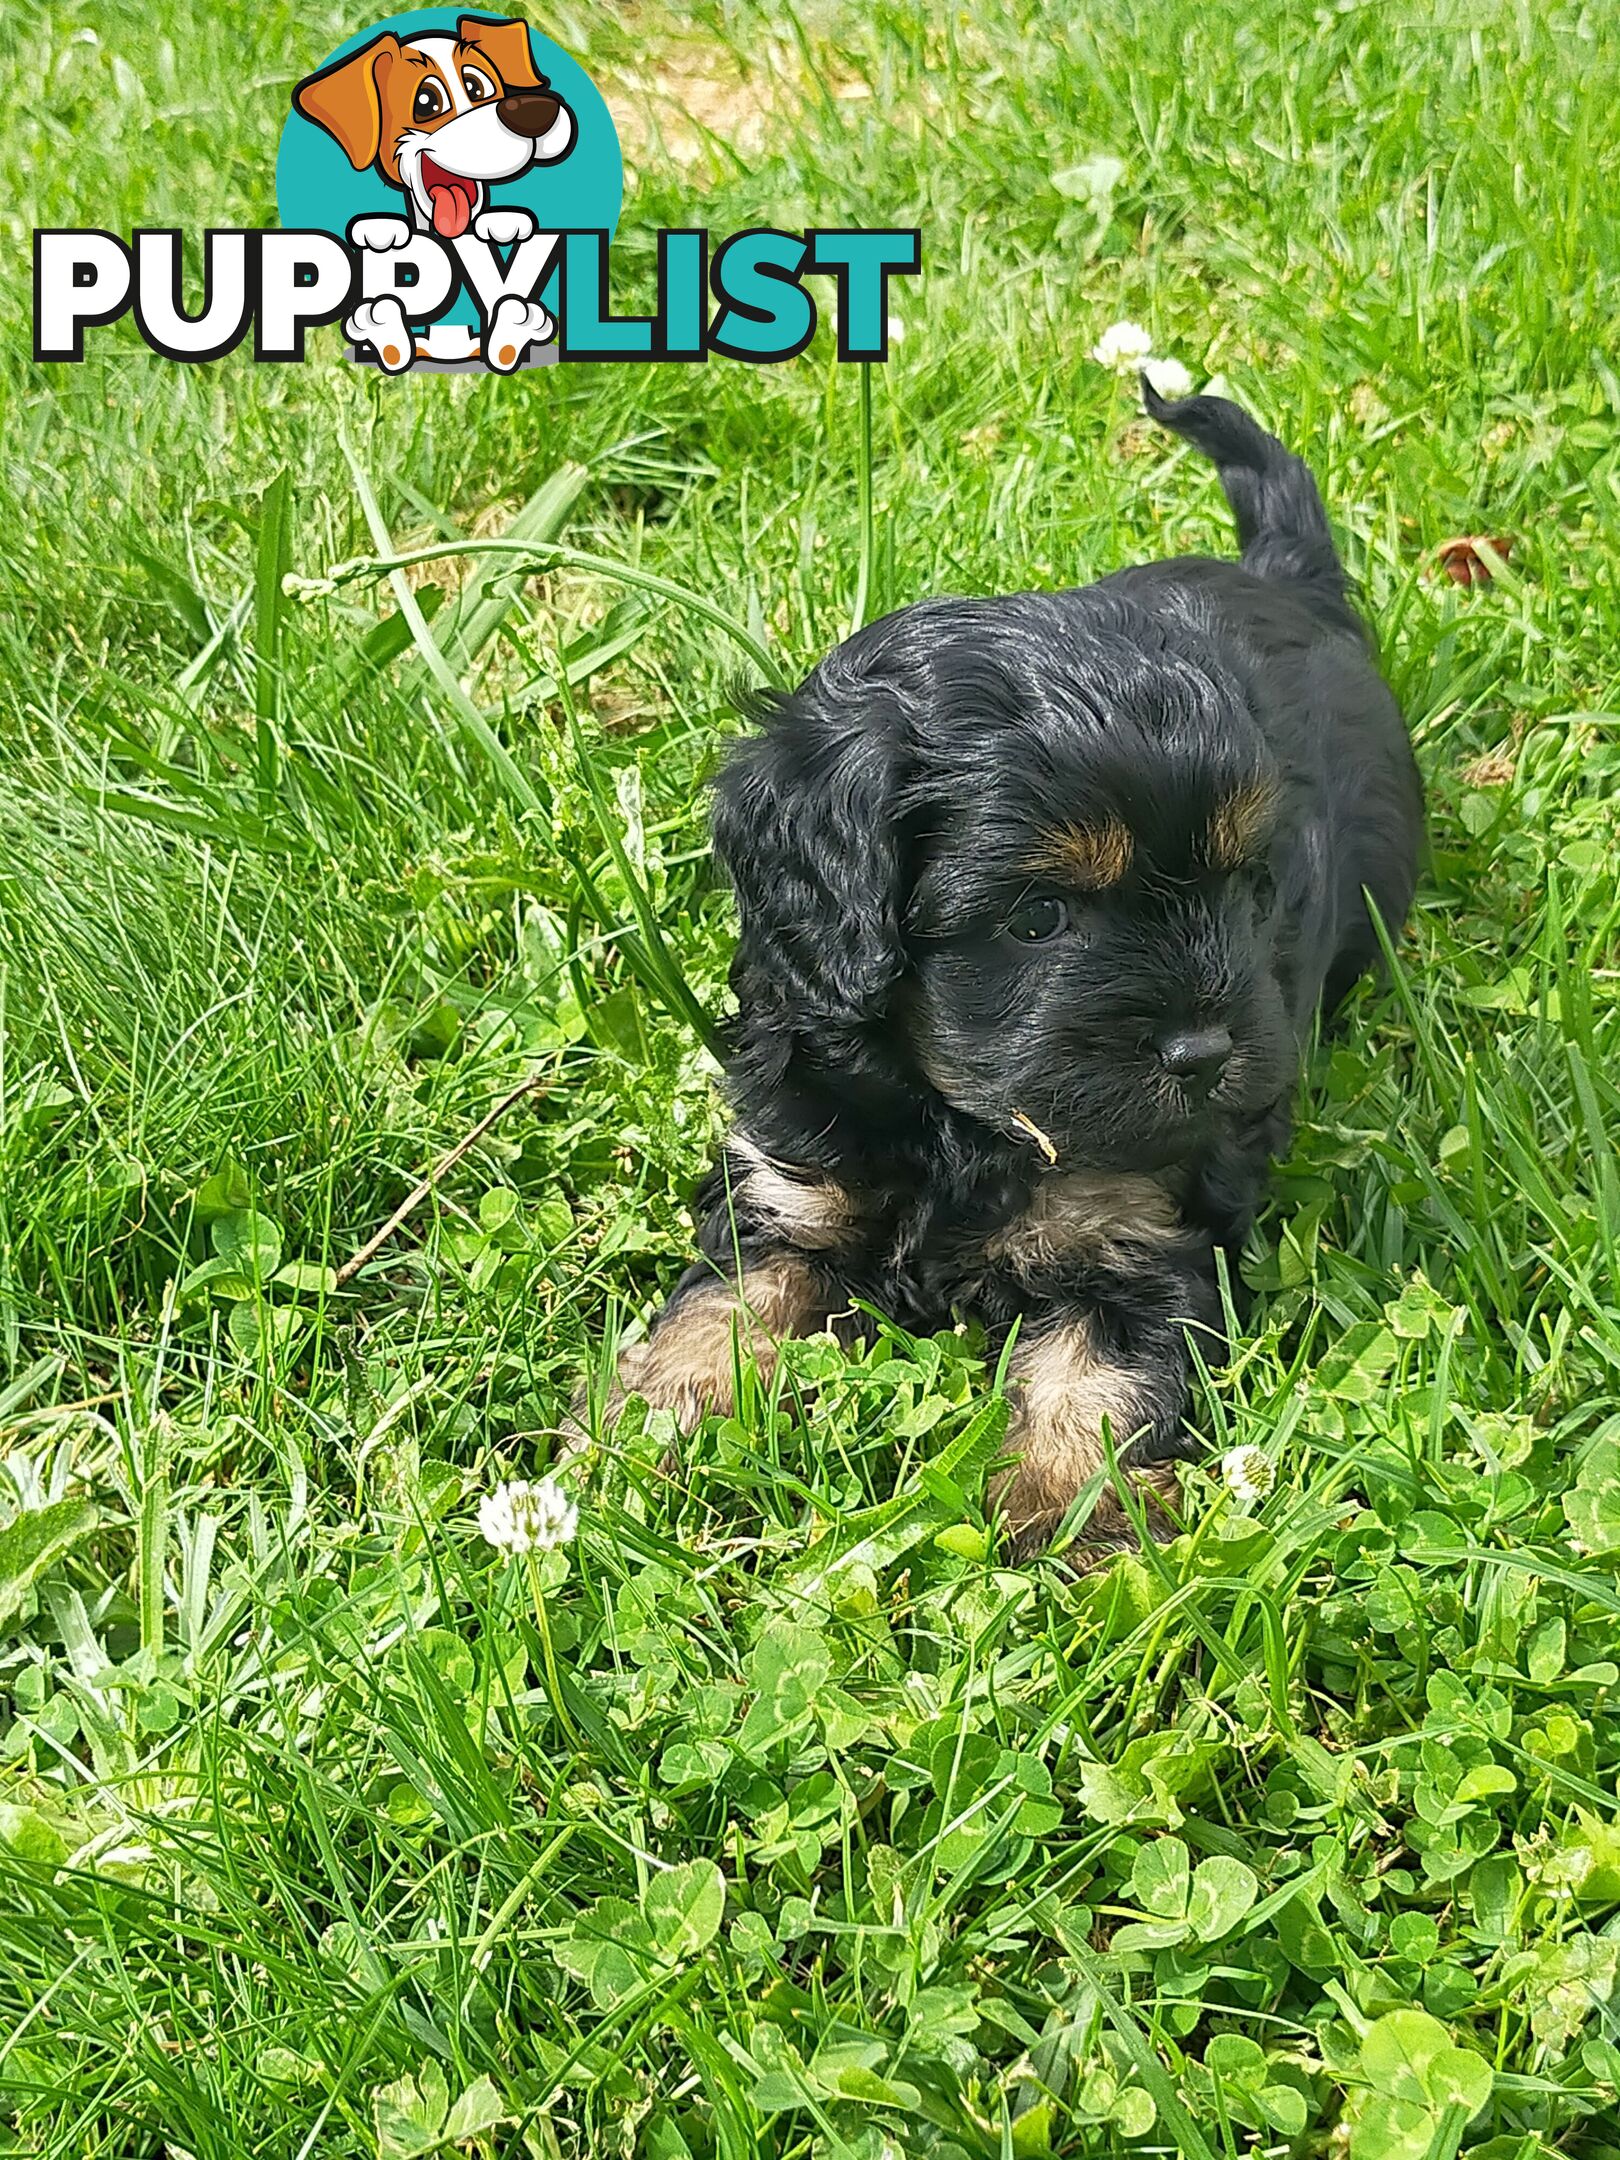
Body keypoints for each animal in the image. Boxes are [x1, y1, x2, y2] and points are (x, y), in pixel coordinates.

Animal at [604, 388, 1425, 1555]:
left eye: (1248, 888)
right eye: (1038, 918)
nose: (1206, 1054)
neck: (955, 1121)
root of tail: (1284, 575)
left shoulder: (1139, 1228)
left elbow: (1096, 1372)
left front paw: (1064, 1514)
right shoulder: (790, 1175)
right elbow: (724, 1300)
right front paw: (647, 1427)